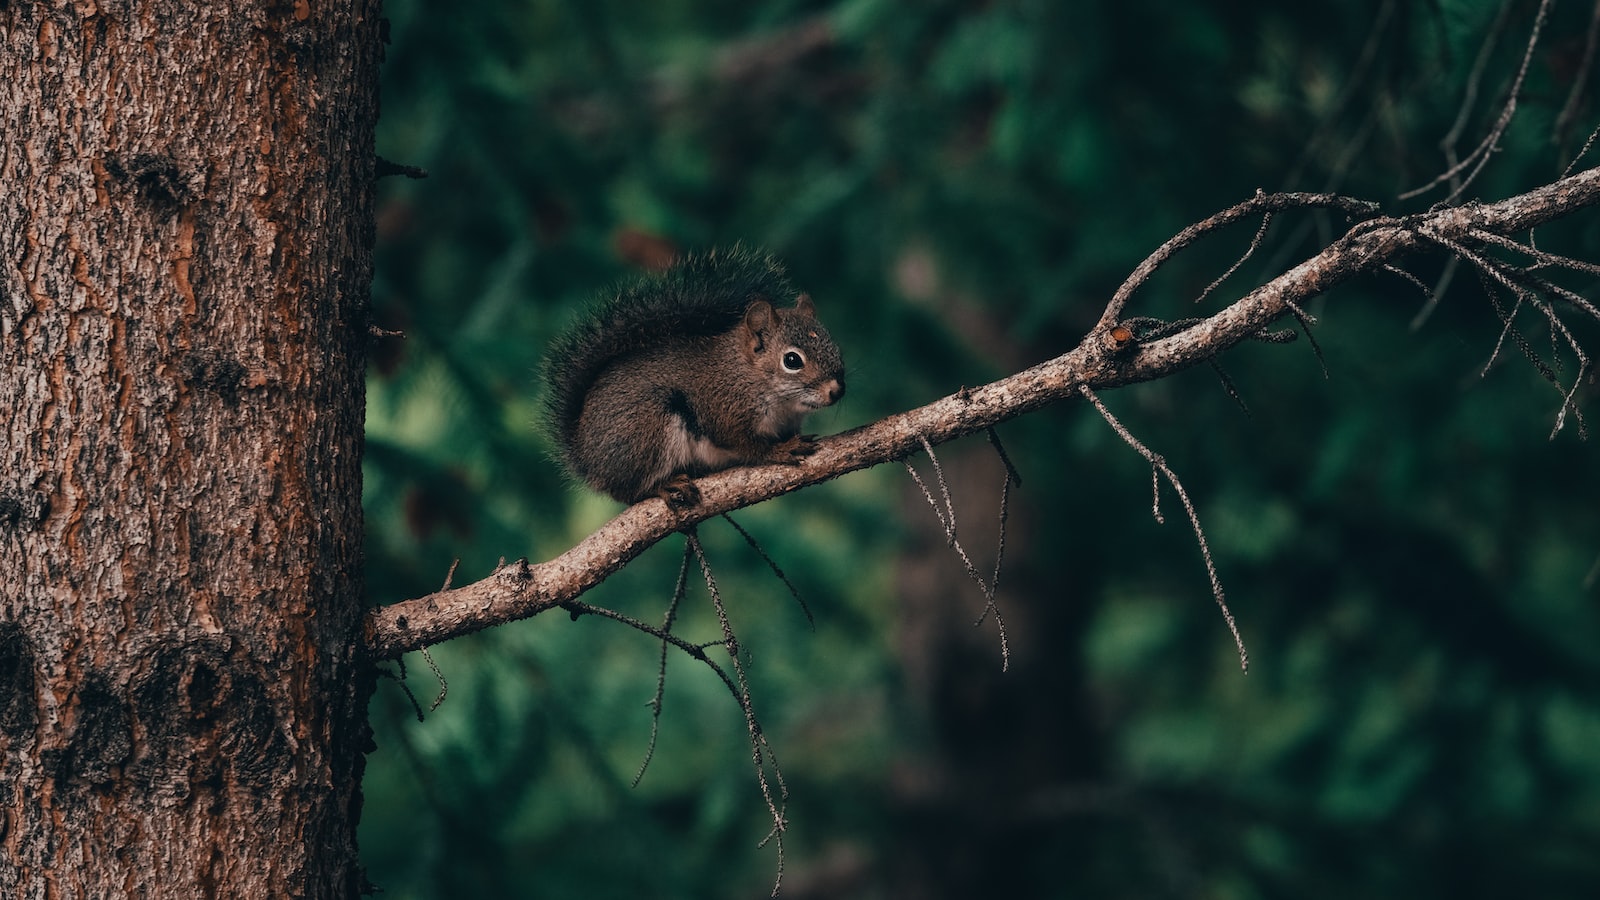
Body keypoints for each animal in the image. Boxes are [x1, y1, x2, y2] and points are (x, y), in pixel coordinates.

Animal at [540, 246, 844, 506]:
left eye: (835, 346)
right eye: (792, 360)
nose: (836, 390)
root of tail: (587, 459)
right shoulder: (724, 410)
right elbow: (746, 445)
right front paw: (779, 451)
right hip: (647, 429)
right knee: (629, 492)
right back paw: (664, 485)